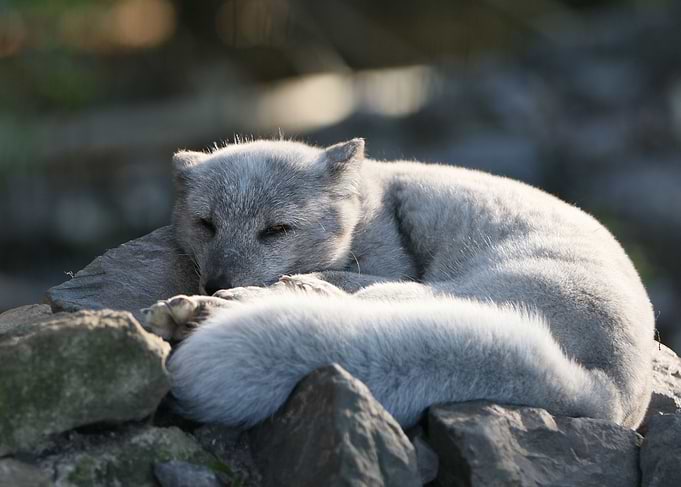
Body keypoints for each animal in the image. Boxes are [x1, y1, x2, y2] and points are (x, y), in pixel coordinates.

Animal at [142, 138, 654, 430]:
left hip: (427, 293)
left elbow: (322, 275)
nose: (215, 282)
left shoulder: (392, 265)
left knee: (333, 299)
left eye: (276, 230)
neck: (368, 206)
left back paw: (209, 311)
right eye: (206, 225)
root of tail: (611, 393)